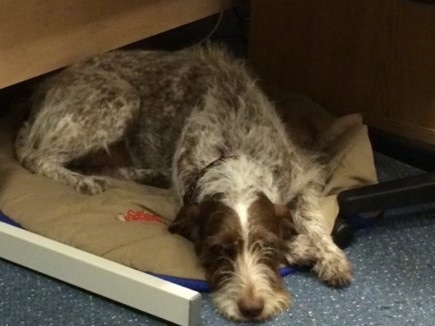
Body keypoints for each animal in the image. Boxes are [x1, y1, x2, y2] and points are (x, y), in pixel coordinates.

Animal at [15, 44, 352, 322]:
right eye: (217, 250)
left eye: (266, 245)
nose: (251, 309)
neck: (236, 154)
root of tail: (42, 87)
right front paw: (302, 248)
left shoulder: (303, 175)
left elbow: (313, 219)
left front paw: (331, 258)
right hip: (121, 99)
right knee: (35, 157)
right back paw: (84, 182)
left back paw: (142, 174)